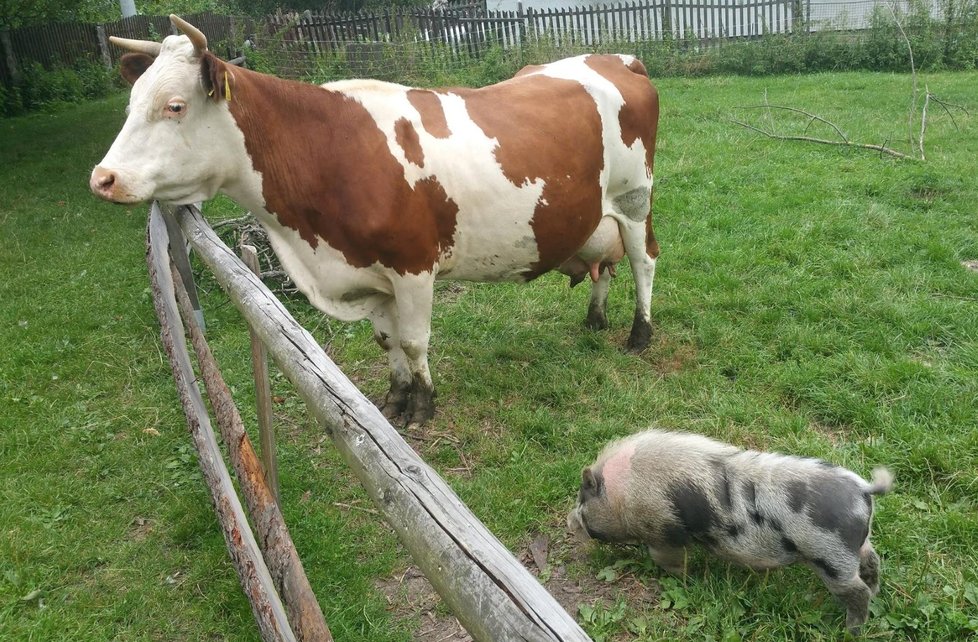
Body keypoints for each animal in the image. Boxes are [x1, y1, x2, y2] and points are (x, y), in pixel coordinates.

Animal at [91, 15, 660, 424]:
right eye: (131, 102)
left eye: (174, 106)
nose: (103, 178)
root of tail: (617, 57)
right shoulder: (369, 273)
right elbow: (387, 342)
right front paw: (395, 400)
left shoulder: (413, 266)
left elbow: (413, 341)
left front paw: (424, 406)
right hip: (597, 216)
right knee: (605, 267)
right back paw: (595, 318)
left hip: (634, 199)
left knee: (643, 261)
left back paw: (639, 334)